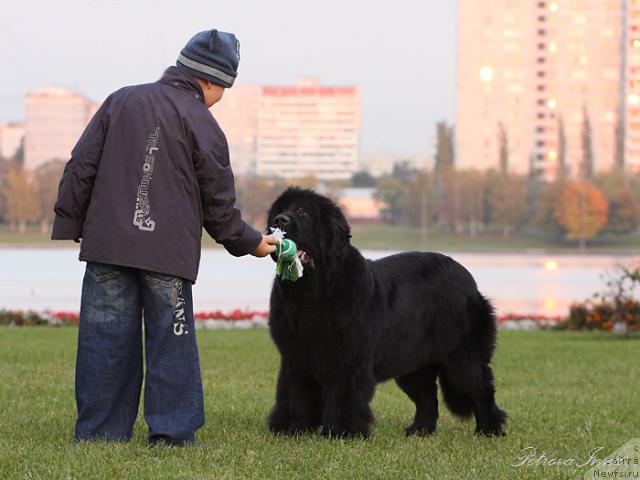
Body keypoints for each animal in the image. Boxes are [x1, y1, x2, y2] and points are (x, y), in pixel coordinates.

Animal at [264, 188, 504, 438]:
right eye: (280, 210)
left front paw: (342, 431)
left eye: (302, 211)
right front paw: (293, 429)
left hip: (461, 355)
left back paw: (489, 430)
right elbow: (295, 394)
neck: (311, 294)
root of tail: (467, 277)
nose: (279, 221)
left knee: (480, 387)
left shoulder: (348, 358)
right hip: (413, 361)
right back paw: (419, 431)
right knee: (427, 398)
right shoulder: (295, 356)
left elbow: (343, 396)